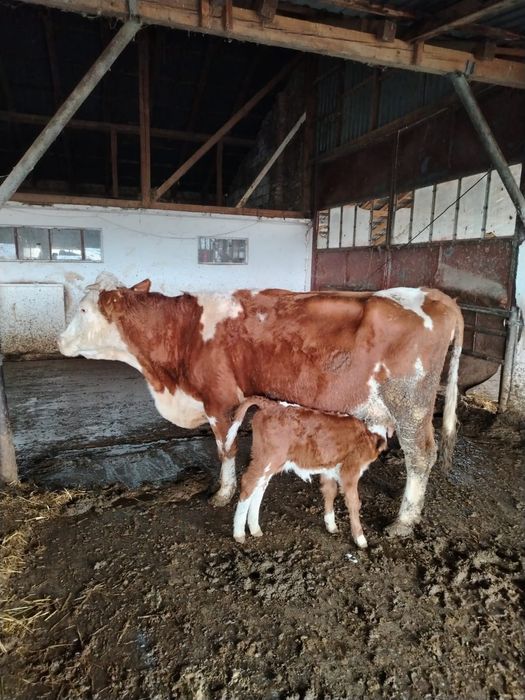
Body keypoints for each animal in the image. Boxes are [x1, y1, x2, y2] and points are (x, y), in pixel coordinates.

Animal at [227, 396, 388, 547]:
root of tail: (271, 404)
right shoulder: (351, 471)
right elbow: (354, 502)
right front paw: (360, 539)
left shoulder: (328, 469)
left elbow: (330, 492)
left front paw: (331, 525)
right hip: (267, 459)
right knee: (248, 482)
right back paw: (239, 533)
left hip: (268, 462)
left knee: (259, 488)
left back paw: (255, 528)